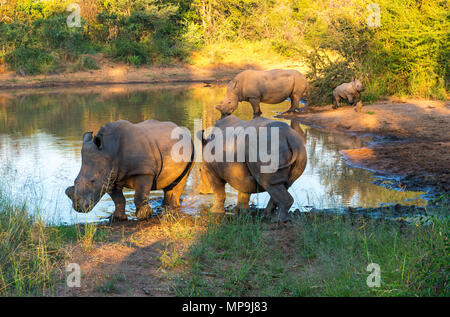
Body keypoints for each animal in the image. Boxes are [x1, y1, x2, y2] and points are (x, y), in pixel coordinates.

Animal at [65, 119, 193, 221]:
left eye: (93, 181)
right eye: (75, 181)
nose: (78, 208)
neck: (109, 150)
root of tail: (179, 128)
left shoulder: (144, 171)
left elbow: (140, 196)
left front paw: (145, 216)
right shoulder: (110, 177)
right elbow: (118, 199)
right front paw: (116, 218)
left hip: (190, 148)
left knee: (181, 180)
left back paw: (172, 209)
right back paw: (164, 208)